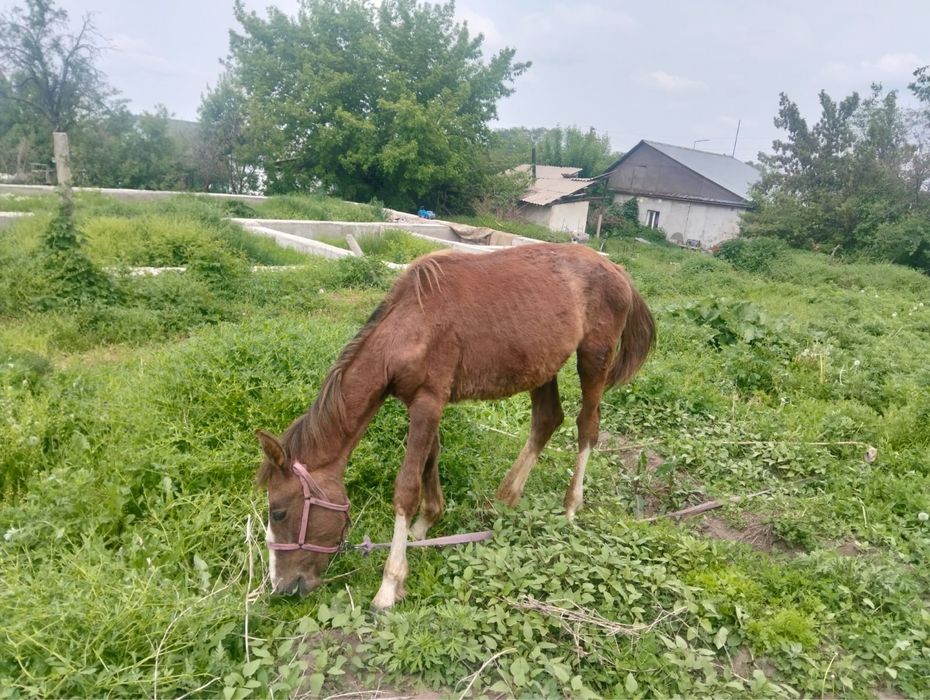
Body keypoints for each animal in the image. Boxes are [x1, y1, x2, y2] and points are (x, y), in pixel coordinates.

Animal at [255, 242, 655, 609]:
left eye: (279, 512)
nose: (282, 587)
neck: (411, 325)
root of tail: (617, 269)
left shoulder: (429, 401)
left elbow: (406, 487)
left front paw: (390, 584)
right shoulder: (425, 403)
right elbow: (431, 458)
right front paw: (425, 524)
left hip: (593, 357)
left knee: (587, 426)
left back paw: (571, 506)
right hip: (543, 364)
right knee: (546, 420)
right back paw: (506, 498)